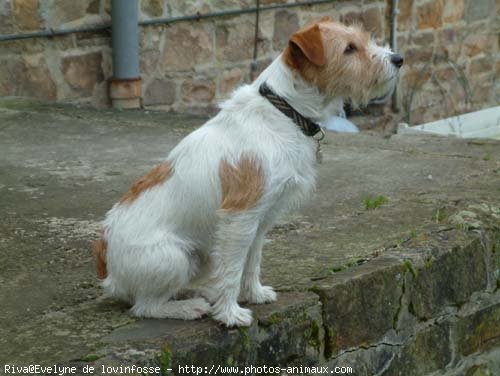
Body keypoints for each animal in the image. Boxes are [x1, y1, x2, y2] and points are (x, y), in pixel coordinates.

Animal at [94, 17, 402, 326]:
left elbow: (252, 261)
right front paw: (230, 313)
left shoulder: (262, 219)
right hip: (174, 257)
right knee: (146, 306)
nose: (398, 59)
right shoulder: (240, 218)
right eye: (349, 48)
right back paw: (187, 308)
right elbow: (232, 269)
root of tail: (107, 265)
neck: (284, 111)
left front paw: (254, 293)